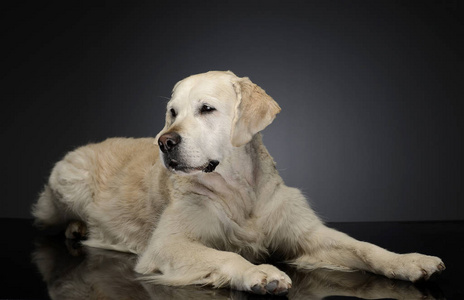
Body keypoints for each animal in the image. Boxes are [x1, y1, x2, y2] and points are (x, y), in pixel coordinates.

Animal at [30, 70, 444, 296]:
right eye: (172, 112)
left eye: (206, 109)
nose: (164, 142)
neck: (239, 190)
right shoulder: (167, 245)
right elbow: (225, 255)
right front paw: (260, 273)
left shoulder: (305, 233)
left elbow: (365, 247)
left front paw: (410, 261)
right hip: (66, 183)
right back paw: (78, 227)